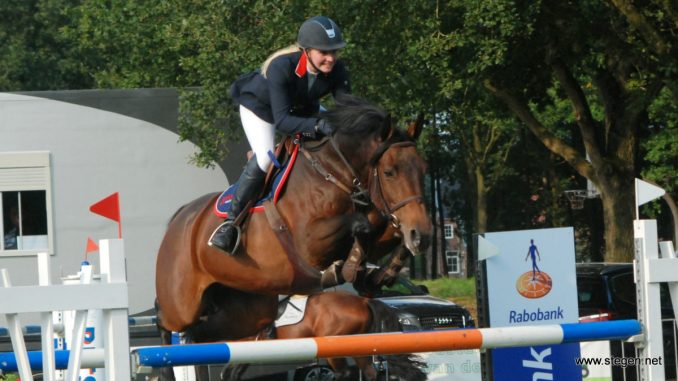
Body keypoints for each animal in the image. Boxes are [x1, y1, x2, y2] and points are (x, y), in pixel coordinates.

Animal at [219, 290, 424, 380]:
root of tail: (363, 300)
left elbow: (231, 373)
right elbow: (231, 373)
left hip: (334, 345)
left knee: (343, 373)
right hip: (358, 347)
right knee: (369, 372)